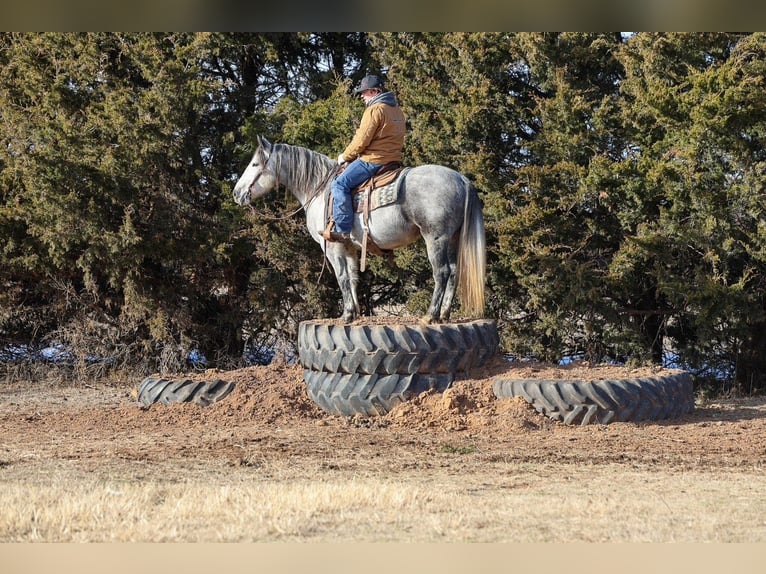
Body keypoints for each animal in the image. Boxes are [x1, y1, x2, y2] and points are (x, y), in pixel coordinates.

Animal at [232, 136, 486, 324]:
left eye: (254, 164)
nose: (236, 193)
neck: (319, 189)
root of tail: (462, 179)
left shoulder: (333, 247)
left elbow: (342, 277)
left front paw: (346, 314)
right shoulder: (349, 247)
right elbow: (353, 277)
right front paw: (354, 313)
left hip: (435, 238)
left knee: (441, 273)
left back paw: (431, 316)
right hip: (452, 239)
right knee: (454, 273)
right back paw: (444, 315)